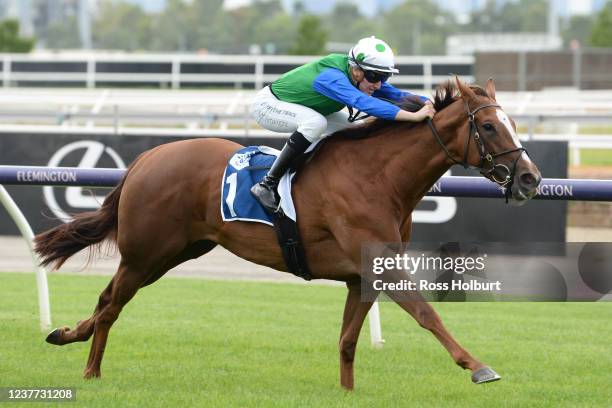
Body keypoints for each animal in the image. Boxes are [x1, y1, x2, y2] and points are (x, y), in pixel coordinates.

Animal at [33, 79, 540, 388]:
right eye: (489, 125)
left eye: (513, 123)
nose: (531, 178)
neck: (378, 176)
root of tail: (145, 158)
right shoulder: (385, 268)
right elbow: (427, 314)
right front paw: (478, 367)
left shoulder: (364, 275)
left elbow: (348, 340)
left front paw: (347, 392)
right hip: (146, 253)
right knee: (110, 304)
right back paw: (90, 369)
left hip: (176, 252)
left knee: (107, 301)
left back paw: (66, 335)